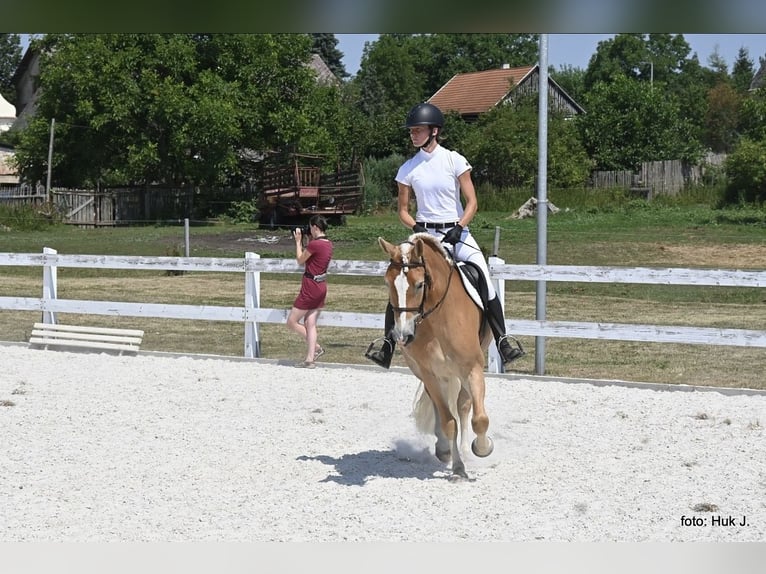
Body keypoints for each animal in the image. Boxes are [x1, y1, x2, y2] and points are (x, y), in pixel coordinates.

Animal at [380, 234, 498, 482]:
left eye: (419, 284)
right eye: (387, 284)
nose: (403, 335)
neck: (438, 316)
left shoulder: (472, 368)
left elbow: (479, 419)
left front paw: (482, 449)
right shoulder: (428, 373)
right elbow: (447, 421)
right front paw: (457, 466)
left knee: (463, 405)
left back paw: (464, 450)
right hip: (429, 374)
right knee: (440, 407)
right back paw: (445, 449)